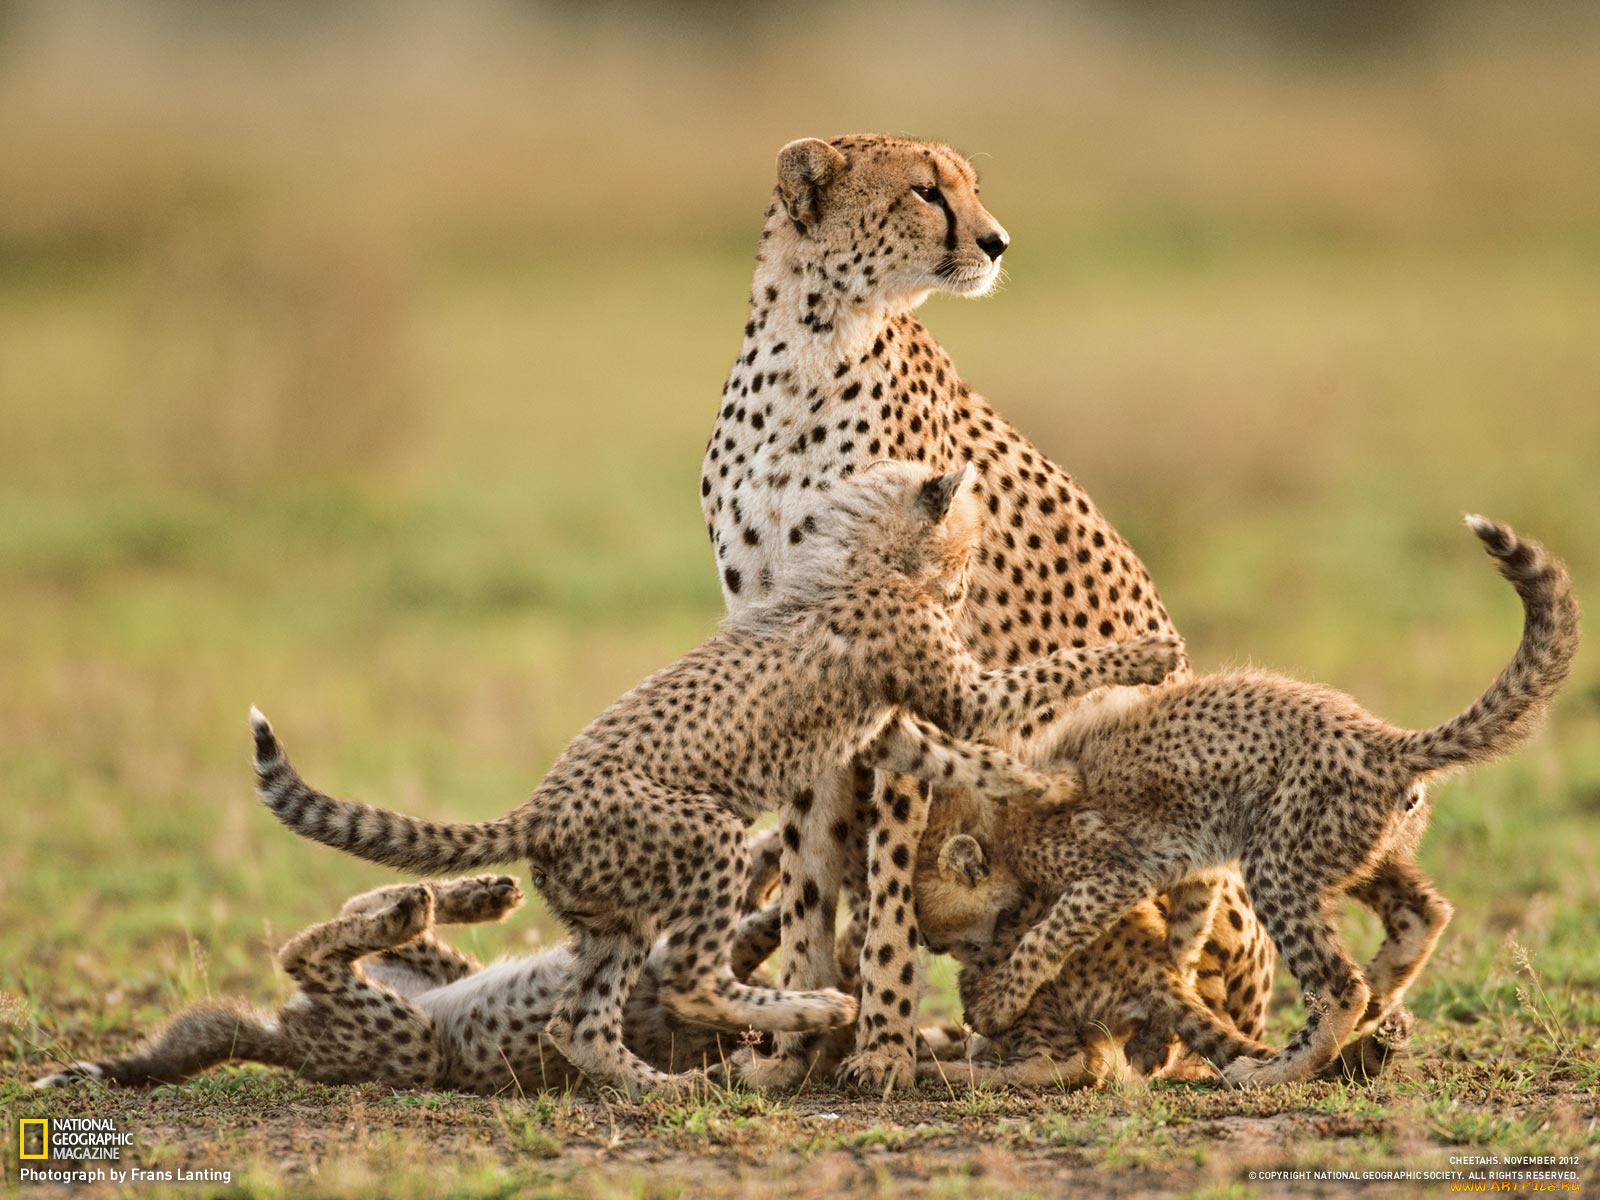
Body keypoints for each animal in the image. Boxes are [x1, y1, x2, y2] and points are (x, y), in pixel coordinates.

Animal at [246, 464, 1177, 1100]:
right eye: (971, 542)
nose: (965, 581)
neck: (858, 557)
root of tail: (538, 808)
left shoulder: (891, 728)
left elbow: (965, 758)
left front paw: (1045, 787)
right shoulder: (953, 692)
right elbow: (1040, 678)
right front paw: (1143, 654)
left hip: (614, 917)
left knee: (580, 1024)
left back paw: (667, 1089)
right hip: (703, 840)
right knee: (690, 980)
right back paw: (813, 1012)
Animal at [700, 133, 1273, 1088]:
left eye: (970, 187)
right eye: (925, 192)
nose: (999, 241)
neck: (814, 345)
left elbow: (894, 882)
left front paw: (882, 1047)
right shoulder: (801, 663)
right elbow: (811, 879)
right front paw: (791, 1050)